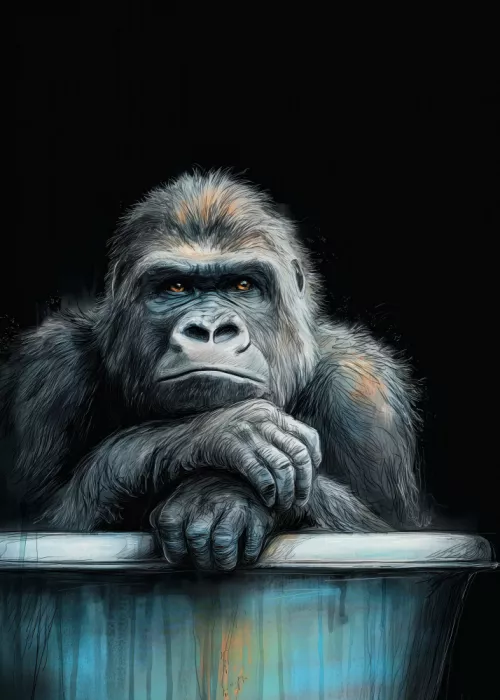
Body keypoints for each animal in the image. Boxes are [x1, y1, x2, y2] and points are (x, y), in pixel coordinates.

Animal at [0, 169, 428, 571]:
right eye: (175, 287)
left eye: (242, 285)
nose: (209, 329)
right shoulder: (50, 368)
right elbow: (41, 526)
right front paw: (222, 433)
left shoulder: (361, 390)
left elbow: (385, 529)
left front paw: (221, 495)